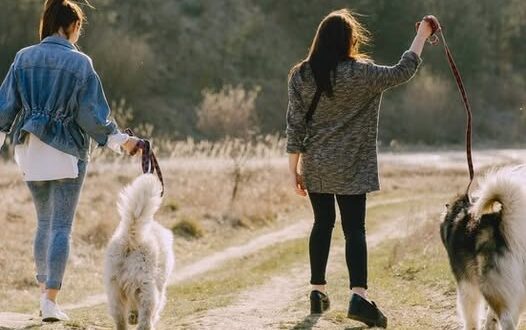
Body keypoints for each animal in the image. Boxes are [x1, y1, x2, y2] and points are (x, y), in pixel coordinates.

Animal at [104, 174, 175, 328]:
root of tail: (130, 240)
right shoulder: (159, 288)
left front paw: (132, 316)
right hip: (147, 288)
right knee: (145, 320)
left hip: (114, 290)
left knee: (120, 320)